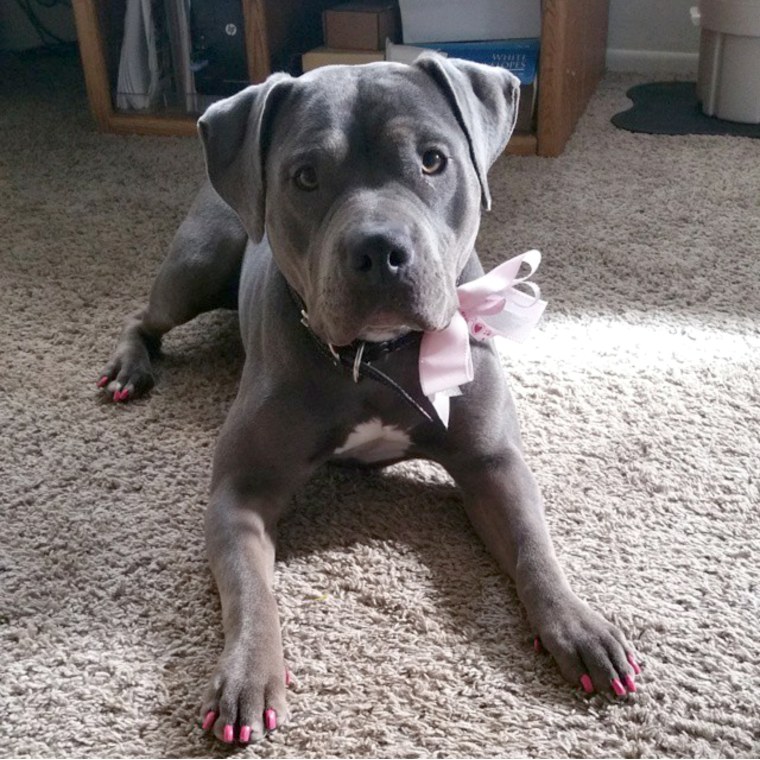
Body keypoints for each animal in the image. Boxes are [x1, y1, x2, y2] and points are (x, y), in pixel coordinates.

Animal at [96, 56, 640, 744]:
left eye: (433, 161)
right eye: (305, 176)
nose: (379, 250)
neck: (374, 358)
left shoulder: (492, 463)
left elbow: (532, 545)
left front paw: (577, 625)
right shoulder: (239, 494)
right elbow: (249, 589)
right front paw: (247, 673)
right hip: (197, 264)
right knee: (145, 315)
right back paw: (128, 367)